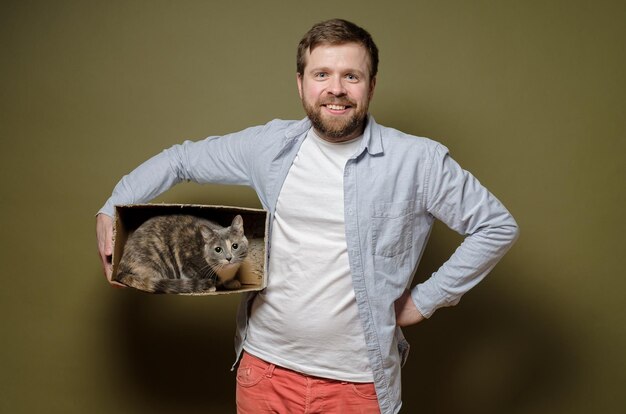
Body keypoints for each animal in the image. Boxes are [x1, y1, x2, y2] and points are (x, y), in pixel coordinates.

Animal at [116, 215, 247, 292]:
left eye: (235, 246)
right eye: (218, 249)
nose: (229, 258)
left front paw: (232, 282)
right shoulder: (186, 262)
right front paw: (208, 287)